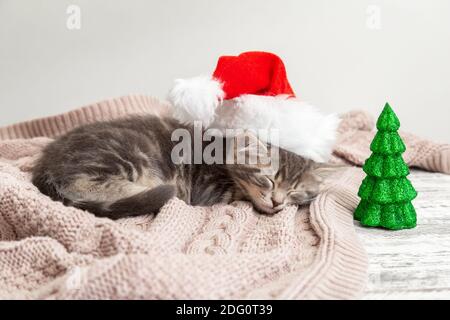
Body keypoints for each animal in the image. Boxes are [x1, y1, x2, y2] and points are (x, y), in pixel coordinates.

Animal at [31, 115, 336, 220]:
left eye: (295, 191)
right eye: (268, 180)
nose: (277, 202)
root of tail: (45, 166)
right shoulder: (209, 190)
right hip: (127, 154)